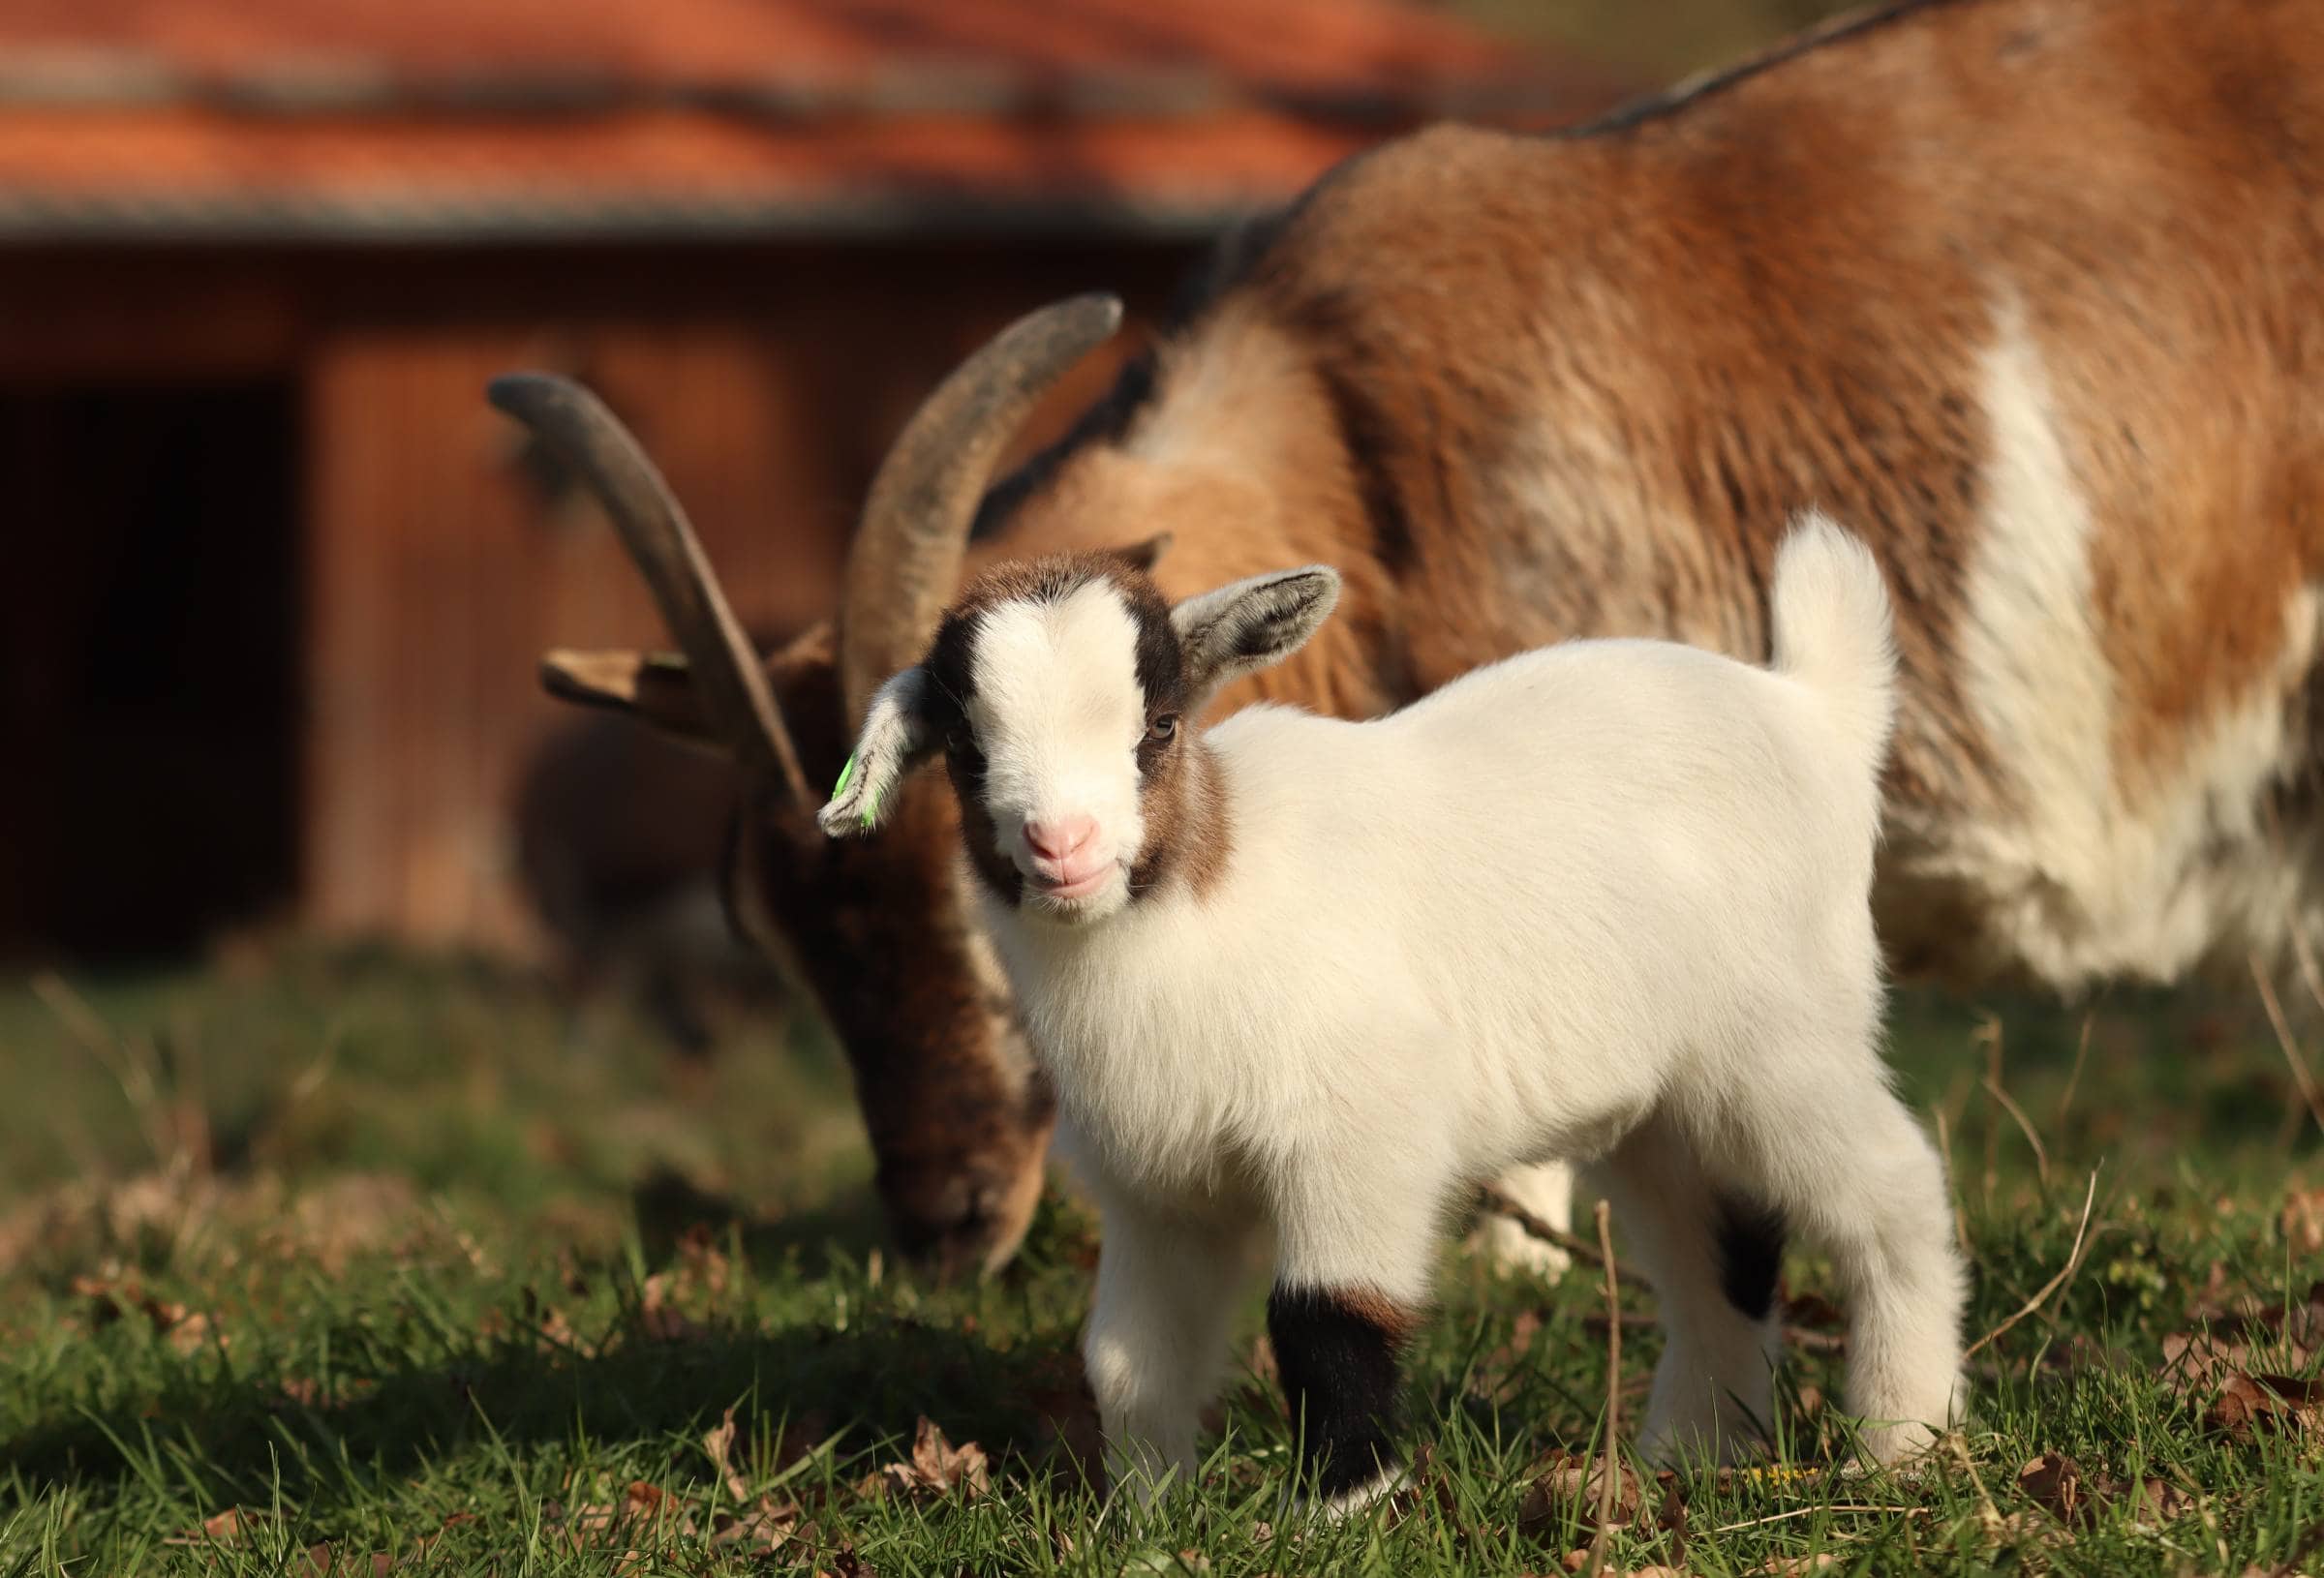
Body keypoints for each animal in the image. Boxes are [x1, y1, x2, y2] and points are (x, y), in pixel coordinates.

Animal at [817, 515, 1961, 1505]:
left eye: (1159, 726)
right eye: (967, 751)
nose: (1064, 846)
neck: (1204, 893)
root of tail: (1814, 711)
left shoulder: (1360, 1132)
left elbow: (1329, 1320)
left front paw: (1344, 1510)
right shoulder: (1156, 1187)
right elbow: (1128, 1358)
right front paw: (1147, 1517)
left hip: (1784, 1039)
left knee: (1894, 1190)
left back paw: (1901, 1443)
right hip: (1664, 1103)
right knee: (1722, 1246)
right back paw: (1691, 1454)